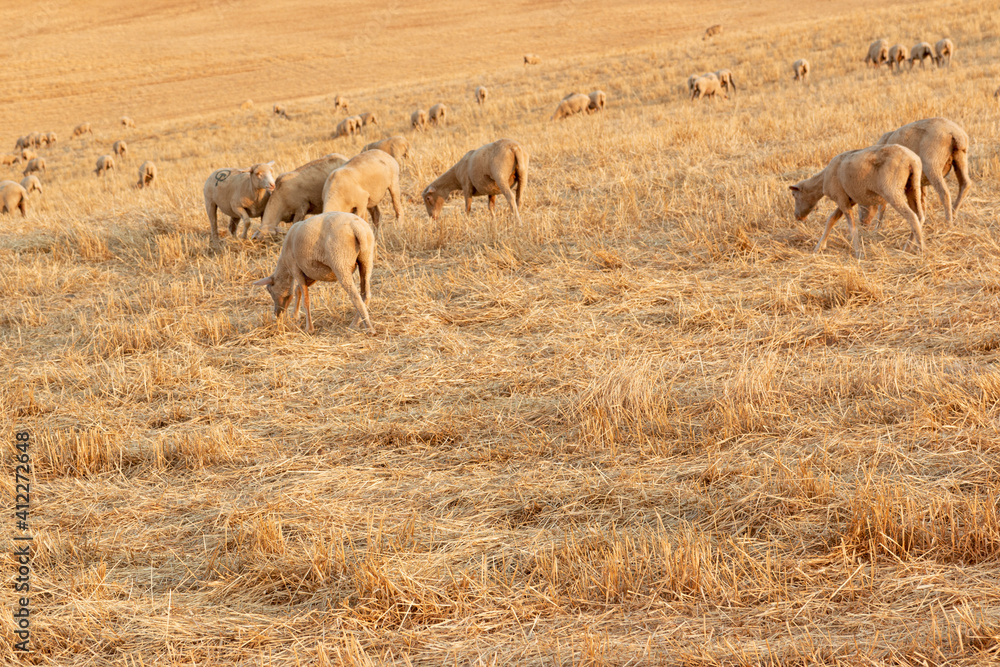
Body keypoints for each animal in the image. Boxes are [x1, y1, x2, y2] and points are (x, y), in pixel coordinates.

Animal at [789, 144, 925, 258]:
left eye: (794, 195)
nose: (797, 217)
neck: (822, 180)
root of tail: (911, 159)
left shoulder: (840, 198)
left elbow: (851, 226)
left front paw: (859, 253)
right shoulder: (849, 198)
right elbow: (831, 220)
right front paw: (819, 247)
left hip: (892, 189)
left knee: (912, 216)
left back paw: (920, 250)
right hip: (913, 185)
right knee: (920, 216)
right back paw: (908, 248)